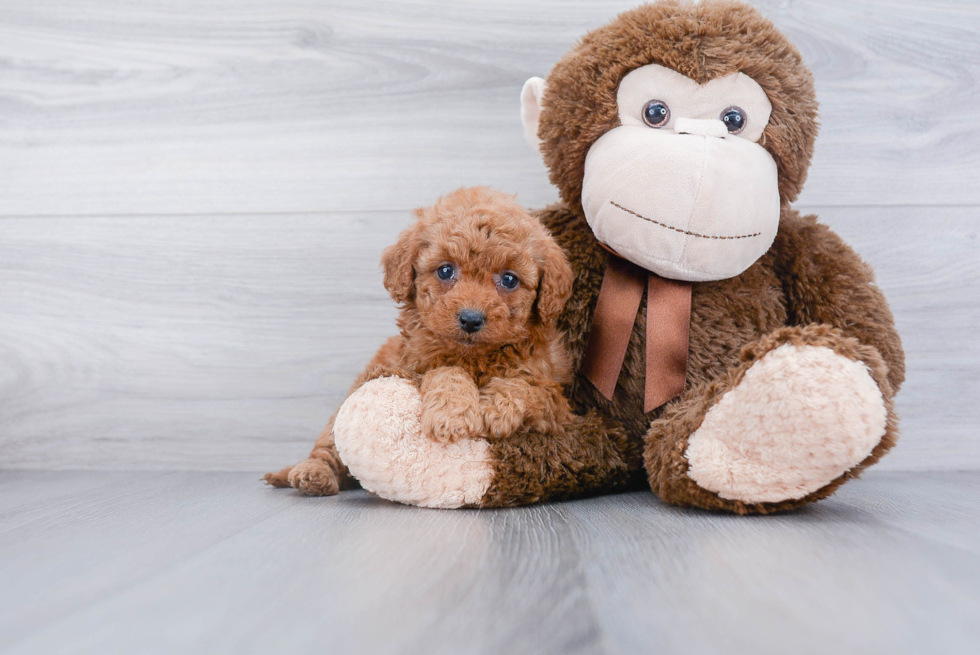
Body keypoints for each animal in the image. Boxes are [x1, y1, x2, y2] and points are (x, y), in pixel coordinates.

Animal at [264, 187, 580, 494]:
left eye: (510, 280)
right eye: (445, 270)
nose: (471, 319)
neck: (474, 358)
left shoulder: (561, 409)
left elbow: (531, 387)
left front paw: (496, 408)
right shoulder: (411, 366)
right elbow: (446, 371)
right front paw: (450, 413)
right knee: (327, 448)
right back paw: (312, 474)